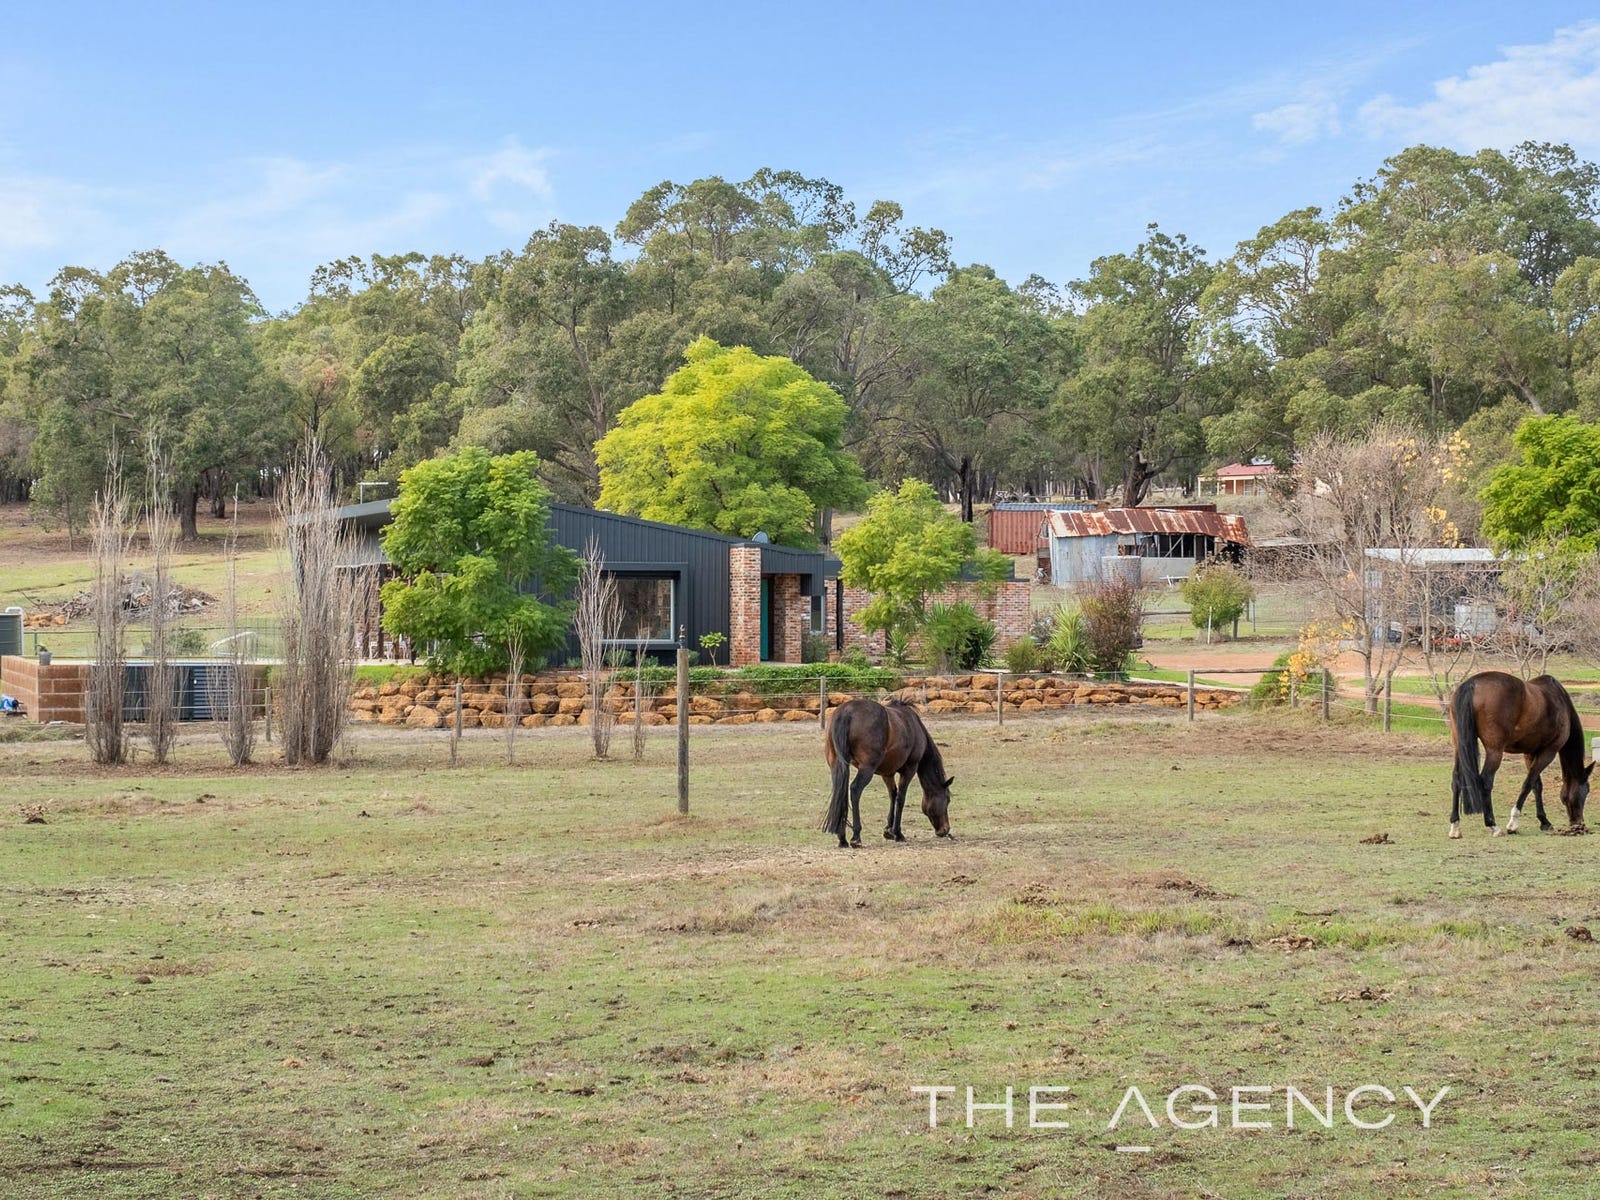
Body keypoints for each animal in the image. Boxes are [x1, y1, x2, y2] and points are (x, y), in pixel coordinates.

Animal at [823, 698, 953, 848]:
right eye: (947, 799)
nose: (945, 830)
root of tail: (846, 712)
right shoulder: (910, 769)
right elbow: (901, 798)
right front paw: (898, 833)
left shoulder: (887, 773)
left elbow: (893, 795)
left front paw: (888, 830)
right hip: (867, 768)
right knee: (855, 790)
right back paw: (856, 837)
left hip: (837, 765)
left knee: (841, 793)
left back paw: (842, 838)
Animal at [1448, 671, 1593, 839]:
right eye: (1586, 791)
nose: (1579, 824)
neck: (1559, 700)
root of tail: (1471, 684)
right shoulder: (1548, 752)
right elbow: (1528, 783)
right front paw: (1513, 823)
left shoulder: (1530, 753)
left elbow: (1537, 785)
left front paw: (1544, 821)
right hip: (1494, 751)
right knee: (1485, 780)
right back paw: (1493, 826)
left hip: (1459, 746)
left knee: (1456, 779)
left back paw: (1455, 827)